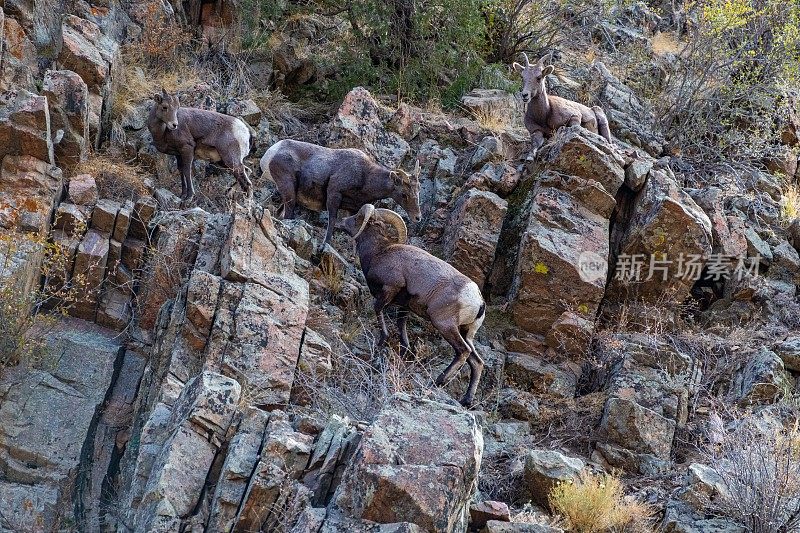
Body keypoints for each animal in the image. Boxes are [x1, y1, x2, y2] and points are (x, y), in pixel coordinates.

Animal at [262, 137, 424, 245]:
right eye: (404, 194)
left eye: (418, 192)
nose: (417, 217)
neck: (365, 176)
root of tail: (272, 152)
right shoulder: (334, 194)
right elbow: (332, 221)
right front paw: (326, 245)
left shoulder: (352, 209)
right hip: (289, 191)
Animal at [340, 204, 488, 408]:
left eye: (357, 218)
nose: (341, 222)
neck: (379, 253)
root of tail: (478, 301)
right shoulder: (404, 306)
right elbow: (401, 325)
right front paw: (406, 350)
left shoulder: (390, 287)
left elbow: (378, 309)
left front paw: (382, 340)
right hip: (467, 332)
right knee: (476, 362)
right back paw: (466, 400)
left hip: (445, 325)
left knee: (463, 352)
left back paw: (438, 381)